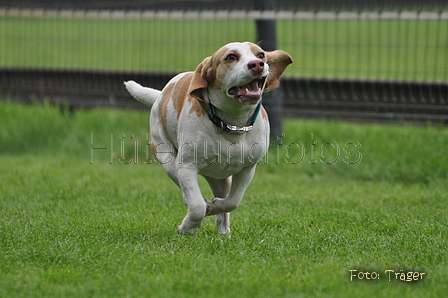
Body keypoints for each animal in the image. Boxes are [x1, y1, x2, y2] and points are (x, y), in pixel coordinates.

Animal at [125, 41, 294, 233]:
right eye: (231, 57)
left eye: (261, 55)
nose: (257, 64)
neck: (232, 125)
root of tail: (160, 95)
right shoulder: (187, 167)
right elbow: (197, 206)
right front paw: (188, 227)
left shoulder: (247, 170)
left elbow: (232, 201)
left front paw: (214, 206)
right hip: (167, 158)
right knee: (183, 186)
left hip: (220, 178)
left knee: (223, 199)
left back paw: (223, 230)